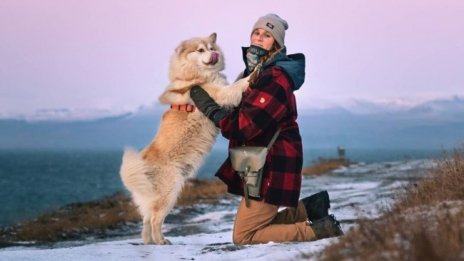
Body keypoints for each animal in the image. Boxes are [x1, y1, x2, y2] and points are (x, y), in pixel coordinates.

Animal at [119, 33, 250, 244]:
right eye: (200, 50)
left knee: (146, 221)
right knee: (155, 220)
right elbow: (237, 85)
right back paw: (161, 242)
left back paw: (149, 242)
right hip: (169, 193)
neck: (196, 76)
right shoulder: (219, 94)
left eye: (211, 47)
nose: (214, 54)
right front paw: (250, 76)